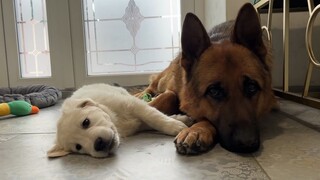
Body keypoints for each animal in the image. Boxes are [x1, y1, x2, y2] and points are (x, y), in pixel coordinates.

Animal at [47, 83, 190, 158]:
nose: (98, 144)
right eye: (78, 147)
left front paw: (175, 124)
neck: (117, 122)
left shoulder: (132, 104)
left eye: (86, 122)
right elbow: (151, 119)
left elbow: (153, 116)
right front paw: (179, 120)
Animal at [136, 3, 276, 155]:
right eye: (214, 91)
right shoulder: (172, 91)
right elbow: (166, 97)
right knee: (151, 87)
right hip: (162, 81)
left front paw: (198, 129)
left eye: (251, 87)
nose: (247, 143)